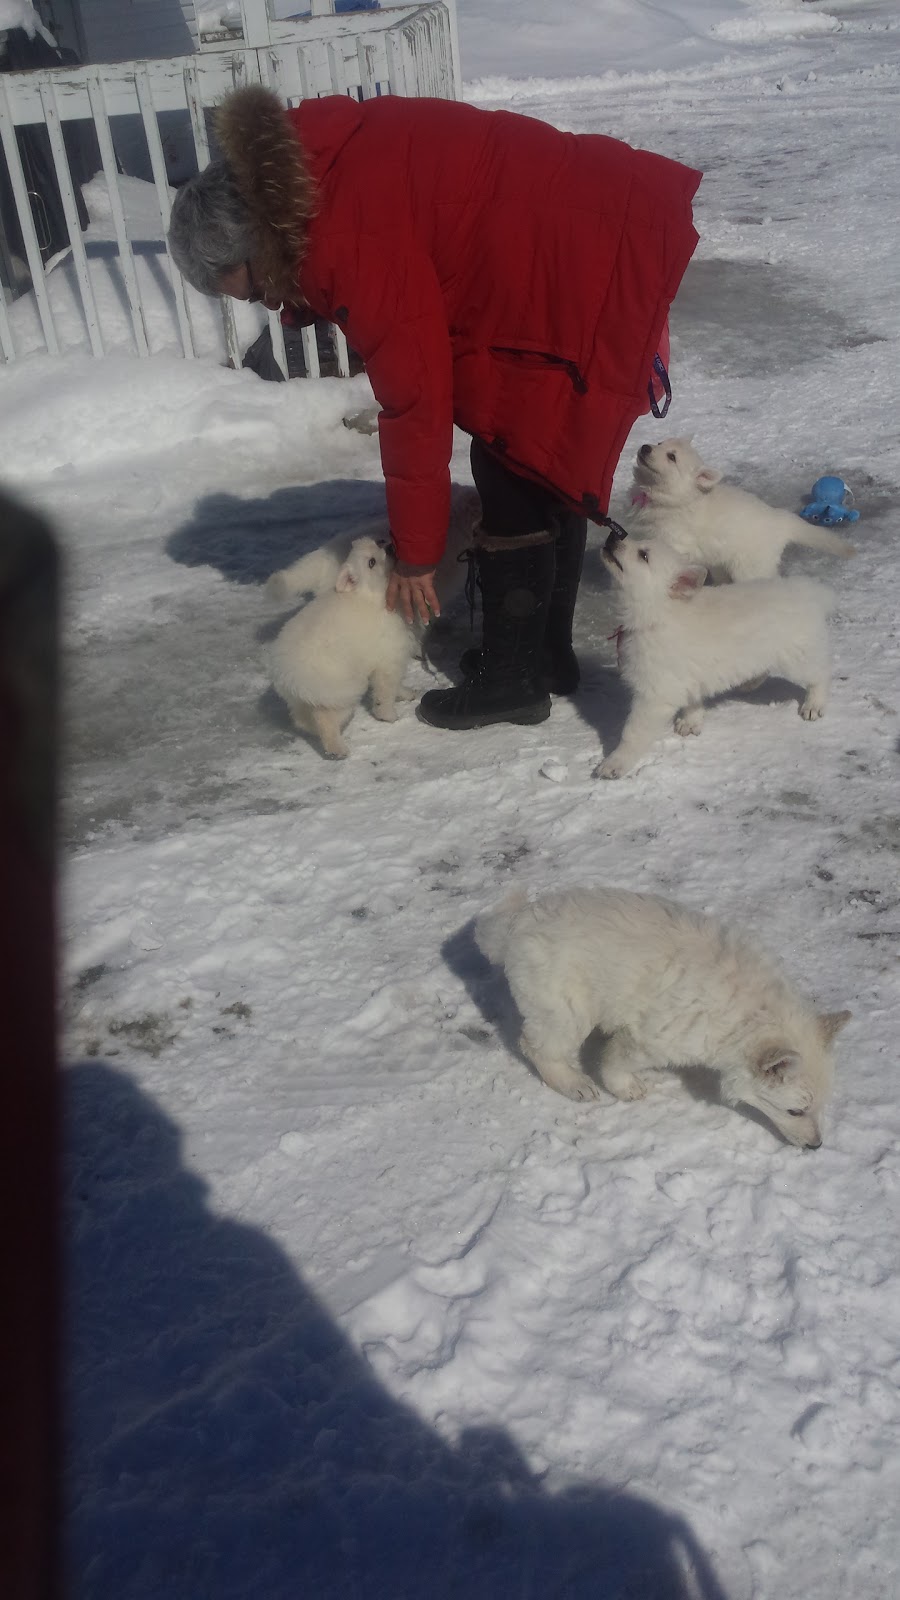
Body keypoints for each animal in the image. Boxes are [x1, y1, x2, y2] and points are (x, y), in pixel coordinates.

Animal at [267, 534, 416, 758]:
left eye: (380, 542)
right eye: (371, 563)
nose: (391, 546)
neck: (370, 594)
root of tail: (287, 674)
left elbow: (395, 685)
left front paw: (405, 694)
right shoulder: (389, 657)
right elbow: (386, 689)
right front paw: (388, 715)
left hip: (305, 698)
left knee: (302, 720)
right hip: (340, 690)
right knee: (325, 718)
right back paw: (337, 749)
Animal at [470, 883, 845, 1145]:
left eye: (821, 1107)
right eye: (795, 1111)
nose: (816, 1146)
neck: (750, 1015)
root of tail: (514, 925)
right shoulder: (650, 1038)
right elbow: (616, 1061)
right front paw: (625, 1088)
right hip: (566, 1010)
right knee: (535, 1046)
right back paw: (574, 1084)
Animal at [592, 531, 832, 780]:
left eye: (644, 555)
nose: (612, 535)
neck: (659, 614)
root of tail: (810, 591)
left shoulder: (654, 695)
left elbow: (633, 733)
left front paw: (615, 763)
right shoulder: (686, 677)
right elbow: (692, 702)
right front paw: (691, 722)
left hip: (798, 657)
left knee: (821, 674)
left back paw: (813, 705)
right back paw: (749, 683)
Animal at [627, 438, 851, 582]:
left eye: (671, 457)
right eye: (659, 443)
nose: (645, 448)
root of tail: (780, 519)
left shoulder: (678, 544)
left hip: (750, 568)